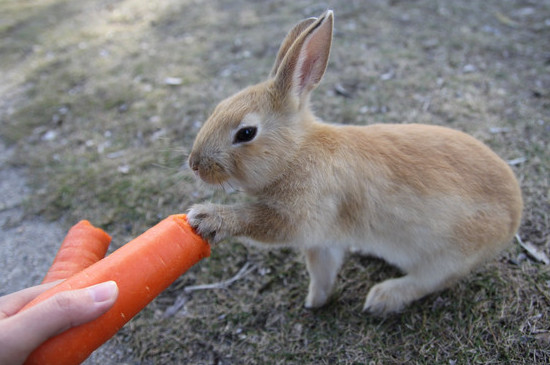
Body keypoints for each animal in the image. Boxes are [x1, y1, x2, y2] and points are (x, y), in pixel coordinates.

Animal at [188, 9, 524, 314]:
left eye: (246, 133)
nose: (194, 164)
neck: (296, 152)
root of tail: (514, 215)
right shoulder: (322, 241)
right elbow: (321, 273)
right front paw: (315, 303)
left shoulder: (303, 216)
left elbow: (259, 221)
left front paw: (205, 219)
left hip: (448, 256)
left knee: (430, 281)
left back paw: (382, 299)